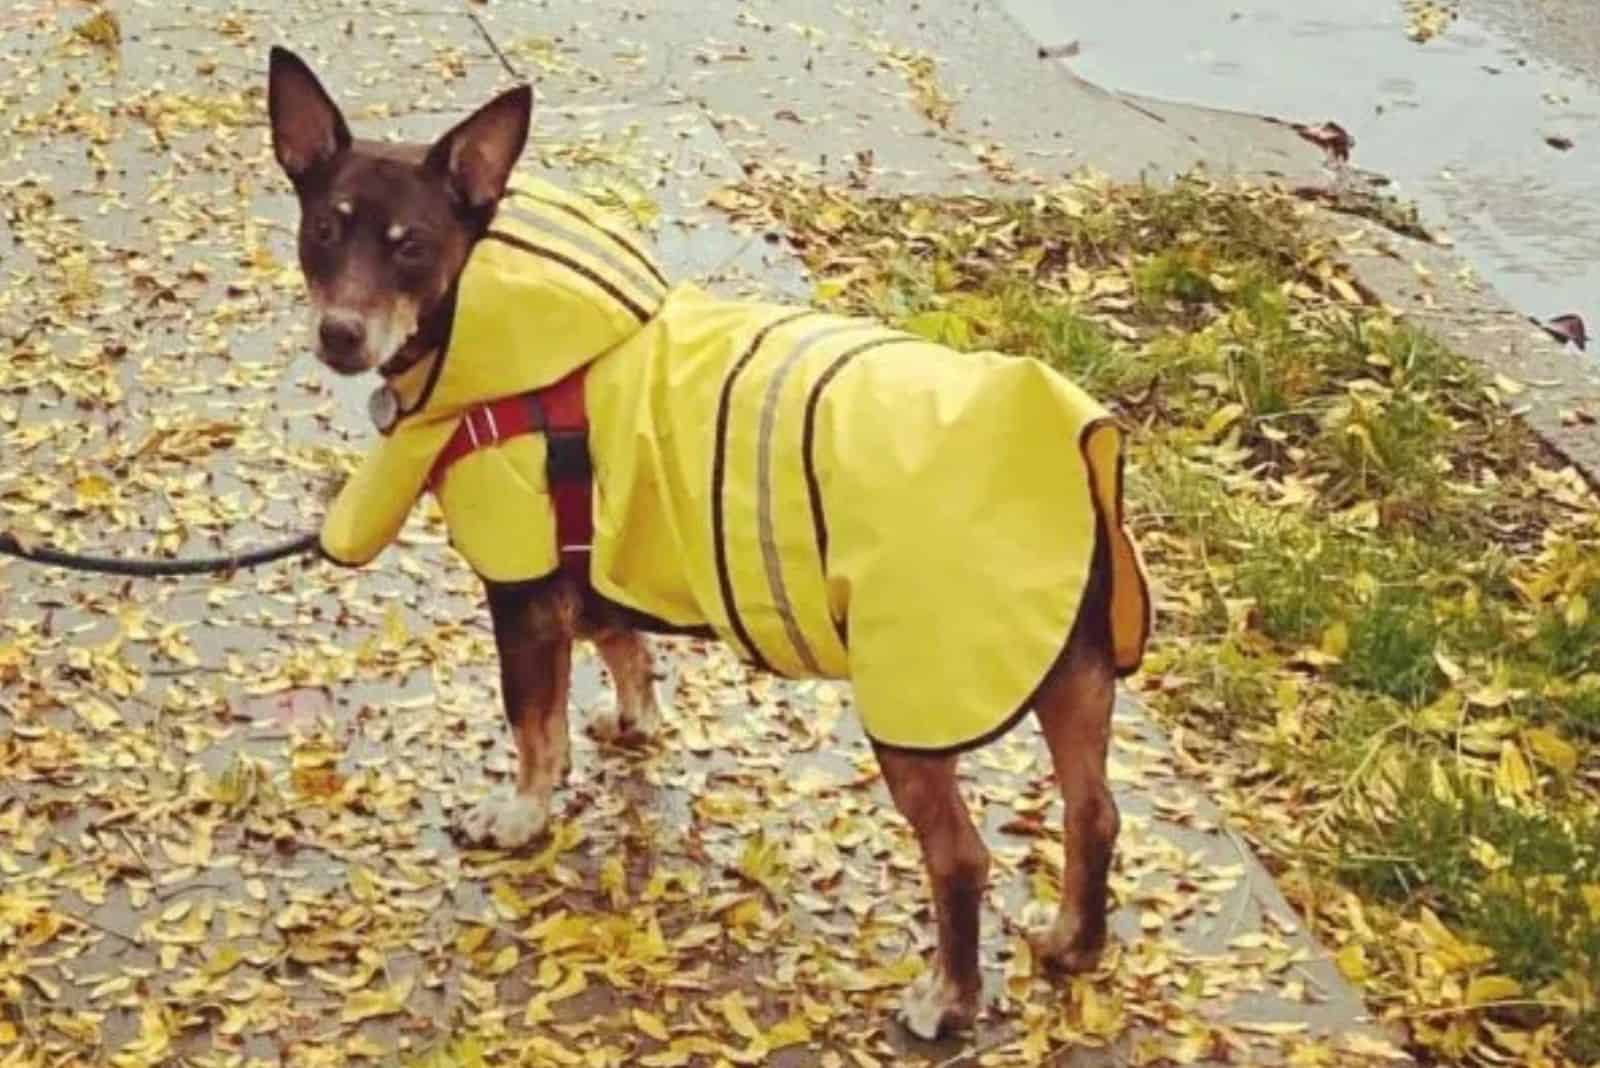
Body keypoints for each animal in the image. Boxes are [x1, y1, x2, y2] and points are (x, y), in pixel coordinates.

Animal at [265, 45, 1139, 1036]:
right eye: (323, 231)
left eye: (411, 244)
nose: (341, 334)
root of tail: (1066, 458)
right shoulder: (598, 566)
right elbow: (624, 648)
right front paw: (635, 722)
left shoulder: (523, 594)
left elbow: (534, 730)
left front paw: (520, 817)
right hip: (1077, 677)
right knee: (1094, 815)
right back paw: (1072, 942)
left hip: (915, 713)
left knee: (962, 858)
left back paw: (946, 1001)